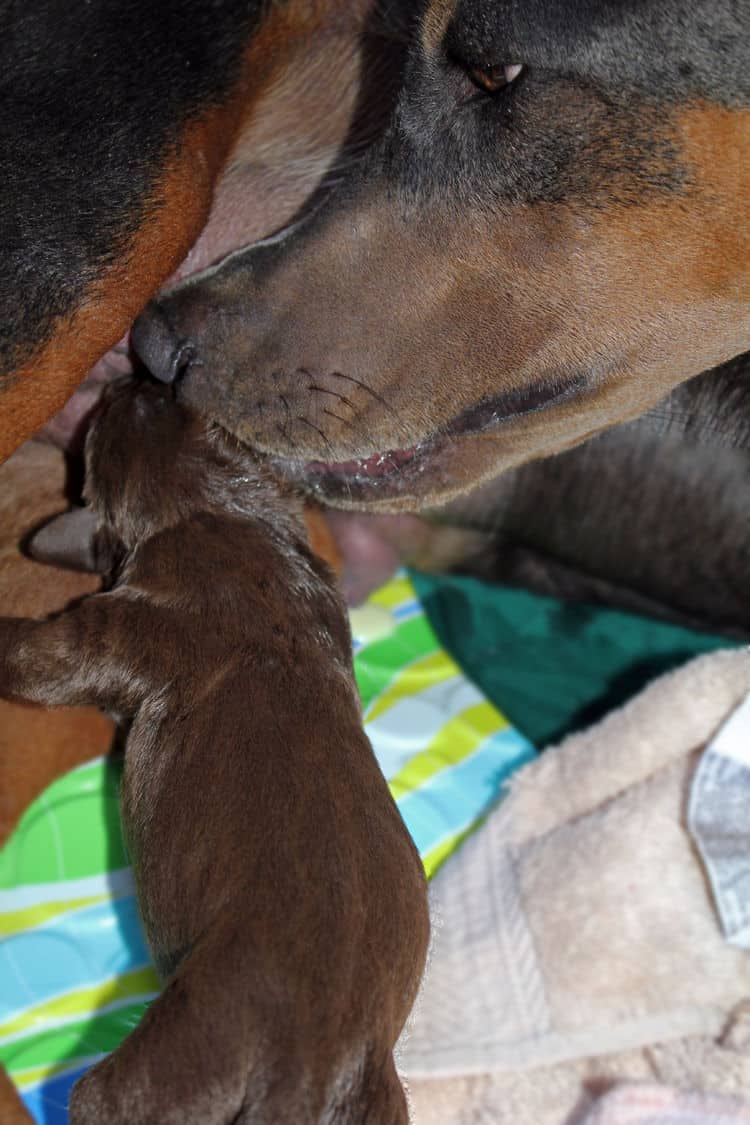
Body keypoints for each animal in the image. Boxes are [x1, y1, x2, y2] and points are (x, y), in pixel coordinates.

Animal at [0, 380, 427, 1125]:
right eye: (164, 395)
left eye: (96, 433)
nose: (129, 378)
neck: (211, 507)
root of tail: (308, 1076)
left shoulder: (109, 630)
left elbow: (38, 655)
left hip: (159, 1063)